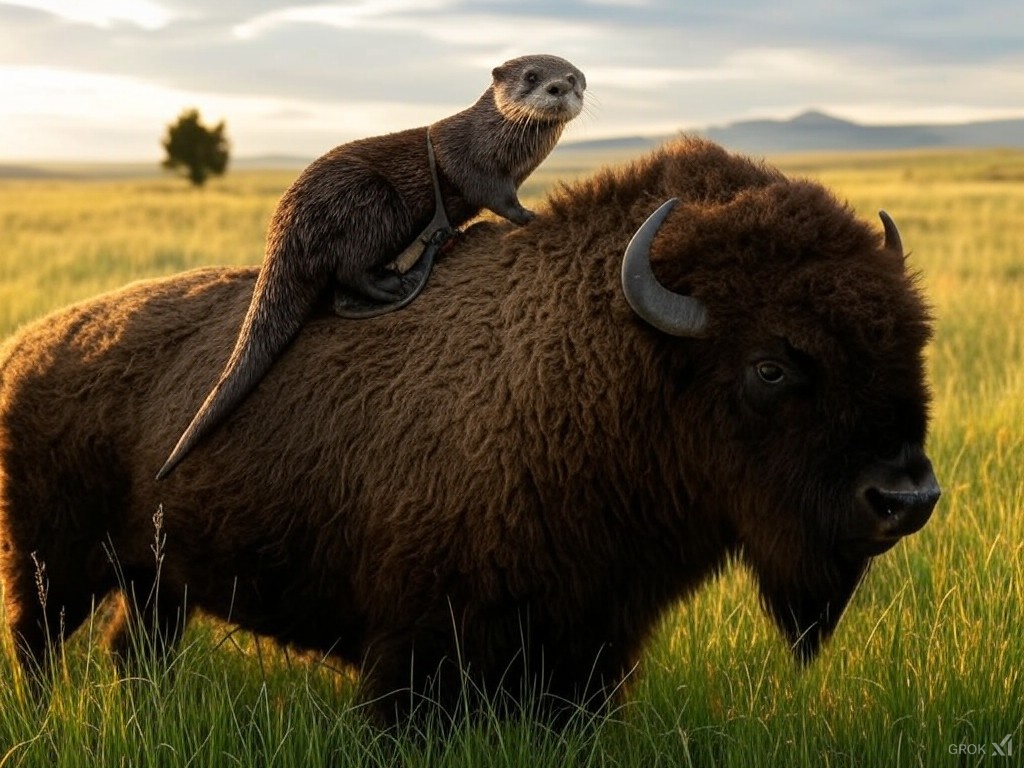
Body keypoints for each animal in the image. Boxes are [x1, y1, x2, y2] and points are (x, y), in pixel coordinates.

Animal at [0, 137, 940, 723]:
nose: (906, 497)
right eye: (771, 367)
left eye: (910, 342)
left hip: (157, 585)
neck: (609, 361)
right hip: (55, 570)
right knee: (38, 649)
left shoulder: (589, 656)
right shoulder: (413, 659)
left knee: (133, 652)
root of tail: (30, 348)